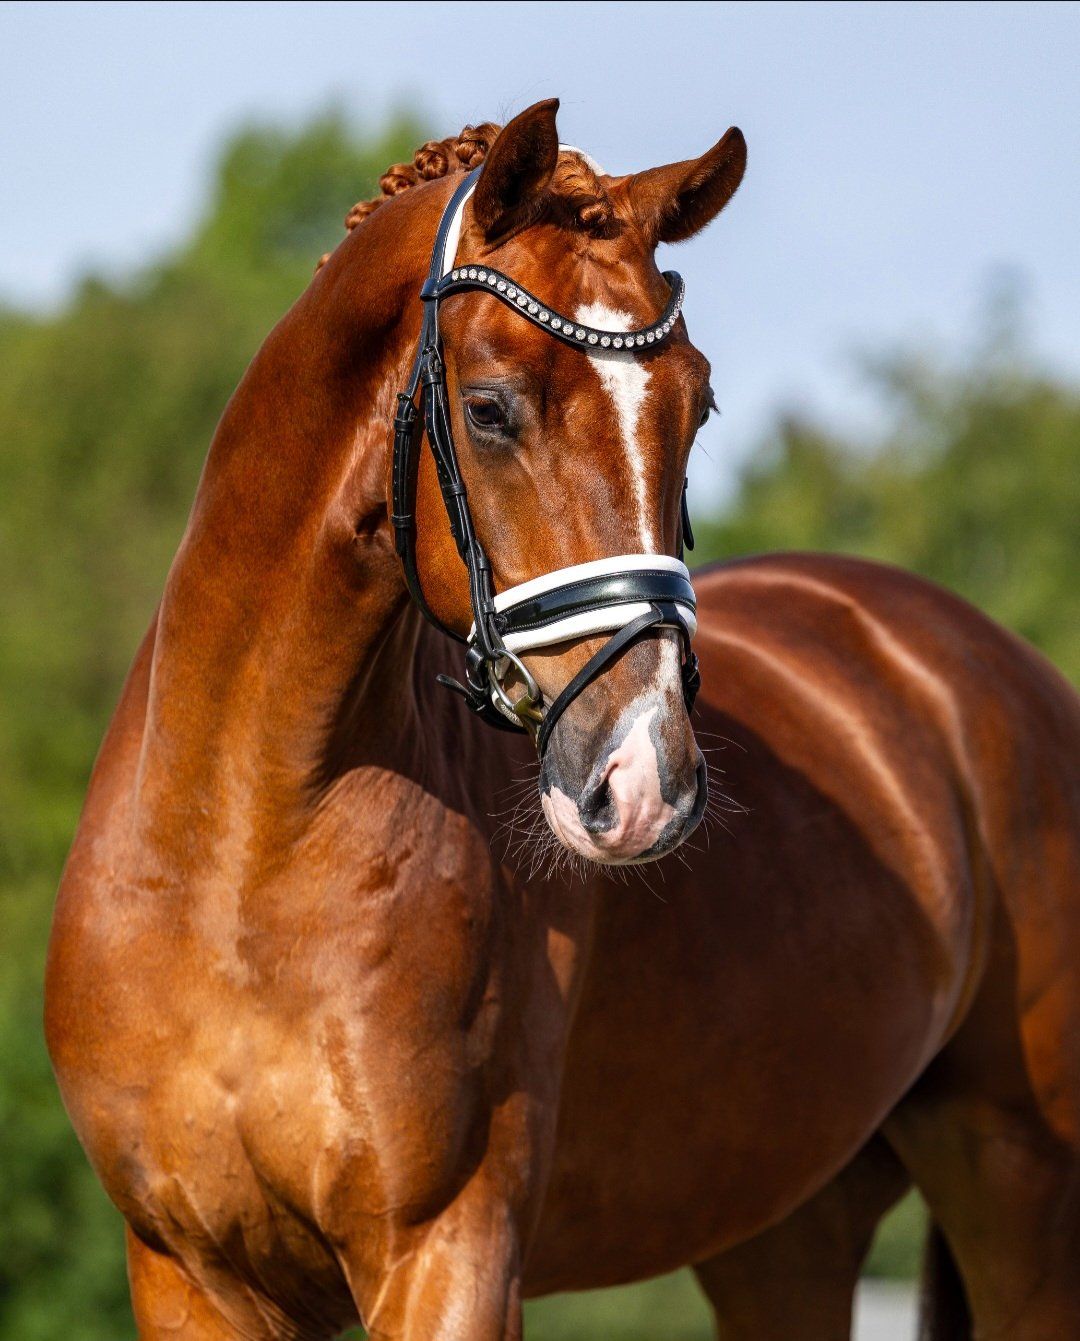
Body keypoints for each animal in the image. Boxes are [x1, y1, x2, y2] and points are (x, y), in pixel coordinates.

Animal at [45, 99, 1080, 1340]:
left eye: (697, 405)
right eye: (489, 409)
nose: (644, 785)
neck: (239, 852)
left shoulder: (448, 1250)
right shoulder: (188, 1270)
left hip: (1019, 1185)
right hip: (784, 1229)